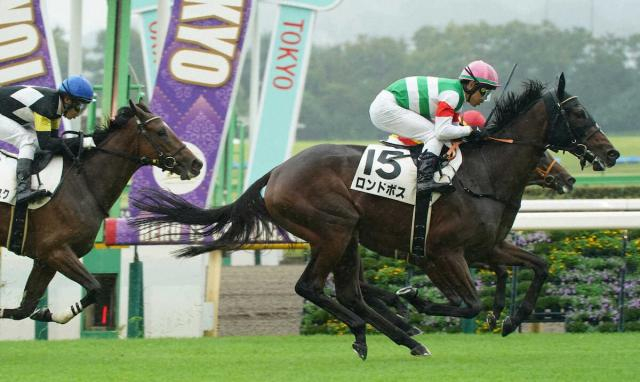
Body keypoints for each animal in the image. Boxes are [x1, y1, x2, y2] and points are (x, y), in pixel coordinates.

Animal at [0, 101, 202, 326]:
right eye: (161, 132)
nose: (196, 164)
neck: (84, 183)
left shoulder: (44, 259)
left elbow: (24, 309)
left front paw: (43, 313)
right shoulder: (56, 251)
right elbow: (96, 288)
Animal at [134, 74, 620, 358]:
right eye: (578, 112)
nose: (612, 153)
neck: (484, 174)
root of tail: (279, 170)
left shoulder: (486, 247)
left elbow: (538, 266)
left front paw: (513, 319)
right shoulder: (442, 253)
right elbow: (469, 301)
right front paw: (417, 299)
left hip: (347, 236)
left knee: (349, 291)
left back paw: (402, 338)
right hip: (333, 230)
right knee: (312, 287)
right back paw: (383, 331)